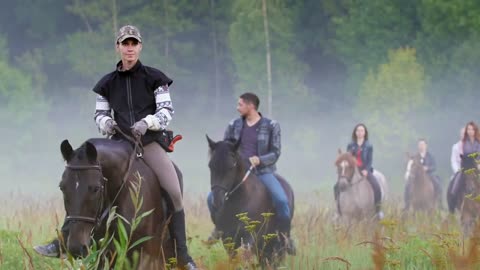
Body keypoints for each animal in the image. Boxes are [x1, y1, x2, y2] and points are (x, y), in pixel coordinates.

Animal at [207, 136, 294, 266]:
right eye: (211, 166)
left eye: (231, 167)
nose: (217, 201)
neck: (239, 201)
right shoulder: (227, 239)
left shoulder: (250, 236)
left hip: (277, 244)